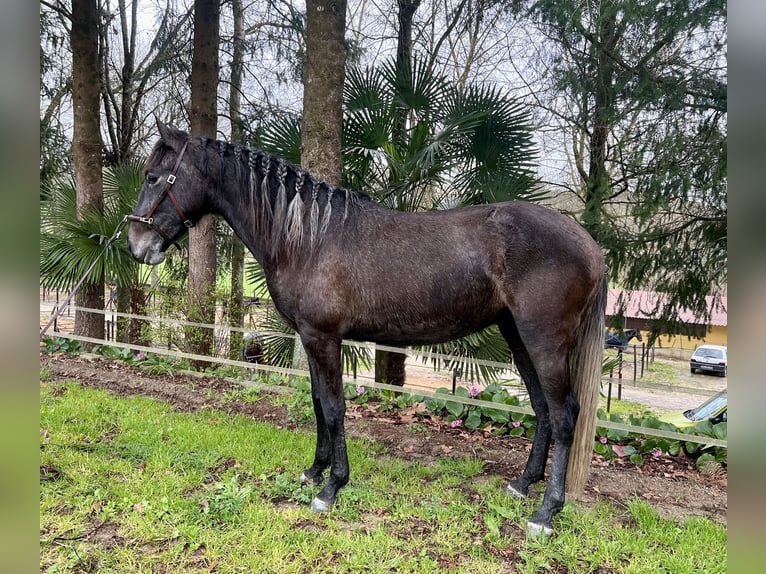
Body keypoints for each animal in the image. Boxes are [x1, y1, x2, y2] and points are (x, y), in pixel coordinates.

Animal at [126, 121, 608, 540]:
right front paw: (314, 471)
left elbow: (334, 408)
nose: (135, 246)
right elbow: (318, 403)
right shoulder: (310, 338)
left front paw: (331, 487)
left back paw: (545, 512)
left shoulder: (323, 337)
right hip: (517, 336)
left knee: (564, 414)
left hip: (545, 341)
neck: (307, 236)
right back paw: (523, 484)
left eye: (153, 177)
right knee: (543, 409)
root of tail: (589, 244)